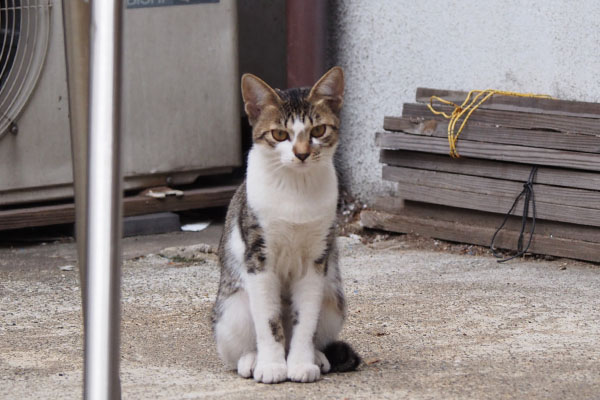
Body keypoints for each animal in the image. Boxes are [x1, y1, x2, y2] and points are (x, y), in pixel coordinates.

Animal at [212, 67, 358, 382]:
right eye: (280, 134)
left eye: (318, 131)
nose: (302, 153)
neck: (295, 187)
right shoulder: (258, 255)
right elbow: (268, 319)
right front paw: (271, 365)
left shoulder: (317, 258)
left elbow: (306, 319)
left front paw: (301, 363)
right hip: (233, 308)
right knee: (237, 344)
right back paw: (251, 359)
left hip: (333, 298)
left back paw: (318, 356)